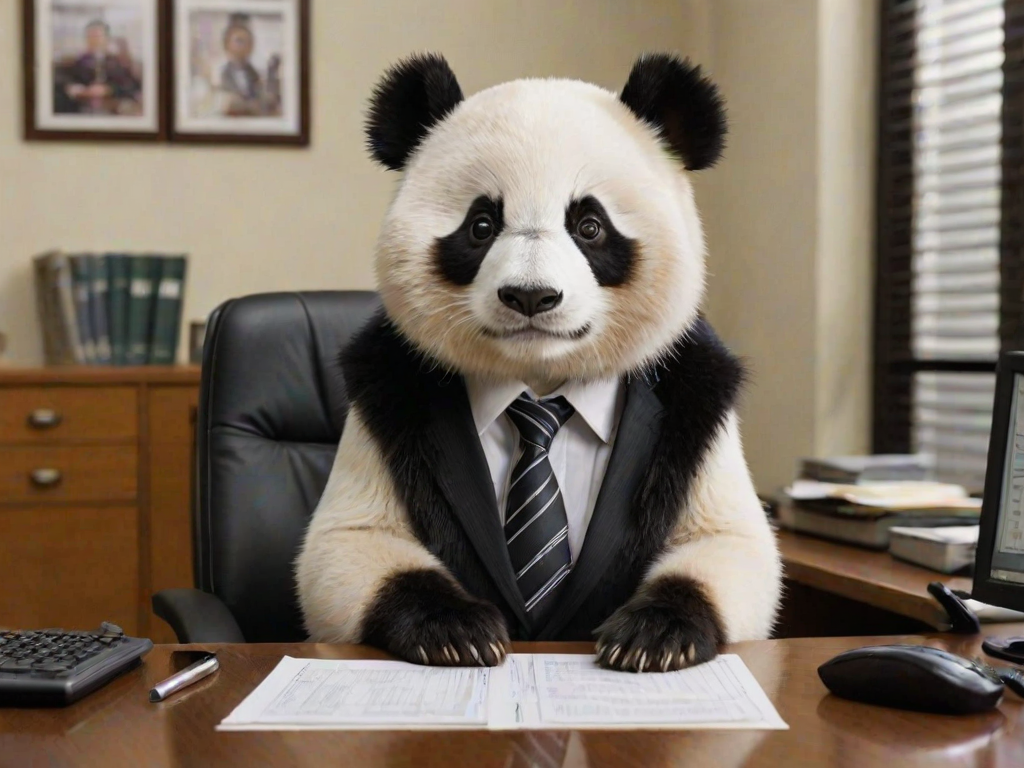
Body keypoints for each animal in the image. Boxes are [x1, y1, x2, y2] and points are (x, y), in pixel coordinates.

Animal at [296, 52, 782, 672]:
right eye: (481, 225)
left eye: (590, 225)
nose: (531, 296)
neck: (541, 378)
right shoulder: (383, 395)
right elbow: (348, 540)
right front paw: (456, 630)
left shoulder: (698, 407)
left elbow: (731, 543)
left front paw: (651, 636)